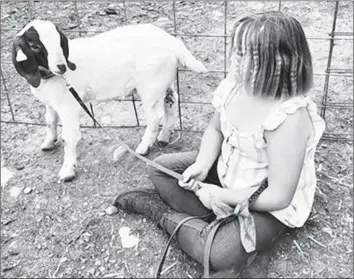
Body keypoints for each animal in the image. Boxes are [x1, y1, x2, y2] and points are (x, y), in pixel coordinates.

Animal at [12, 19, 207, 182]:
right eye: (34, 46)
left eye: (59, 41)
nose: (62, 67)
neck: (48, 77)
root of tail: (172, 42)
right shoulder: (51, 103)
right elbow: (50, 121)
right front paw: (48, 143)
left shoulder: (69, 106)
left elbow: (69, 137)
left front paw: (67, 171)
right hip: (163, 82)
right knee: (171, 102)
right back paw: (164, 137)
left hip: (151, 86)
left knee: (154, 117)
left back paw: (144, 147)